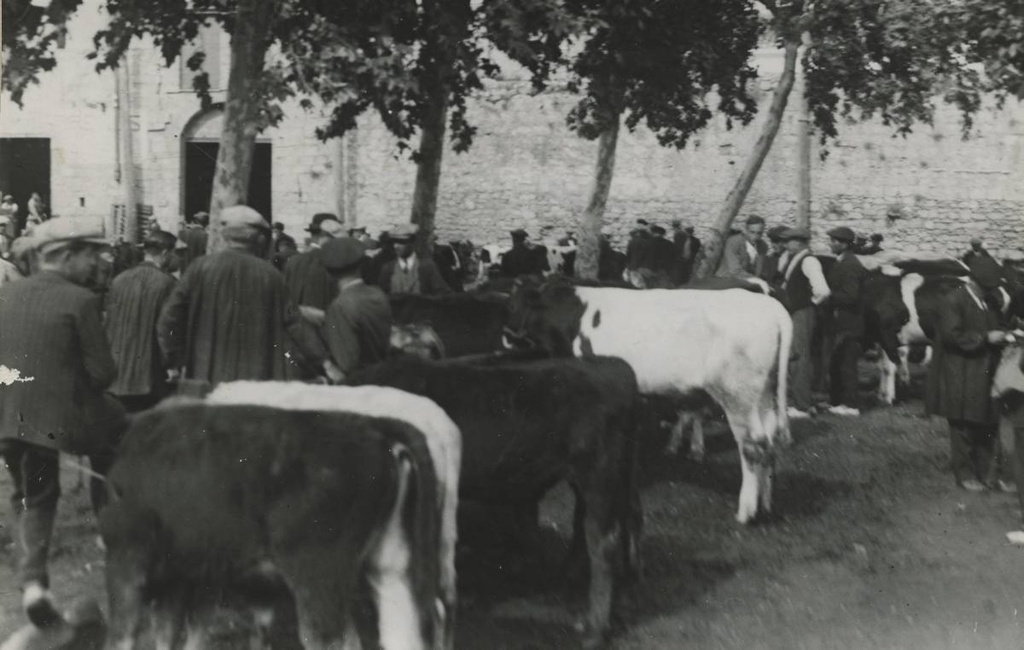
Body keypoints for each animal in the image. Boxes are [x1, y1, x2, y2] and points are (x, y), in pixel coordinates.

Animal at [100, 401, 448, 650]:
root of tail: (373, 426)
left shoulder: (127, 558)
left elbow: (122, 636)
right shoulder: (179, 574)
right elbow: (168, 634)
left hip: (317, 576)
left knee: (328, 639)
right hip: (390, 566)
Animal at [505, 278, 790, 524]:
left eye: (514, 304)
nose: (505, 337)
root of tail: (773, 309)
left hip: (736, 394)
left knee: (753, 446)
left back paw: (746, 513)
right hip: (765, 394)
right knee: (769, 442)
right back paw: (766, 505)